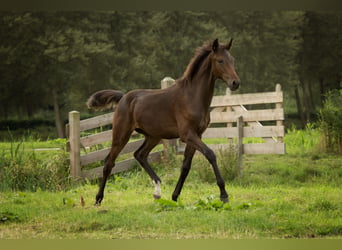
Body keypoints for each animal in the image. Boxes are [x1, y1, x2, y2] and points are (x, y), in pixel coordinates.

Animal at [86, 38, 240, 205]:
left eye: (233, 60)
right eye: (220, 60)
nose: (235, 83)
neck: (191, 96)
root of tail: (123, 97)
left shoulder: (196, 135)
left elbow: (186, 166)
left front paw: (174, 196)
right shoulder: (188, 135)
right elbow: (210, 154)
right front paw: (224, 195)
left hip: (153, 136)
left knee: (140, 155)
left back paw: (157, 191)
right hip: (121, 134)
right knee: (109, 162)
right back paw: (98, 199)